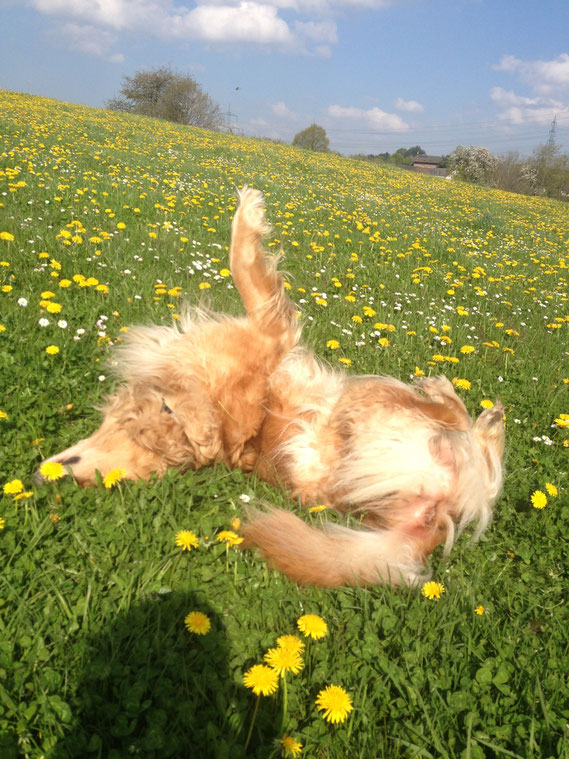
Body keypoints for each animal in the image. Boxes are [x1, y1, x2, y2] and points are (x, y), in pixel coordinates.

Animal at [37, 189, 504, 588]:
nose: (45, 477)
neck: (194, 410)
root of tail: (431, 513)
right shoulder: (269, 332)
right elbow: (243, 264)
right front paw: (249, 212)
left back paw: (486, 418)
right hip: (367, 399)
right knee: (461, 432)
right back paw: (462, 402)